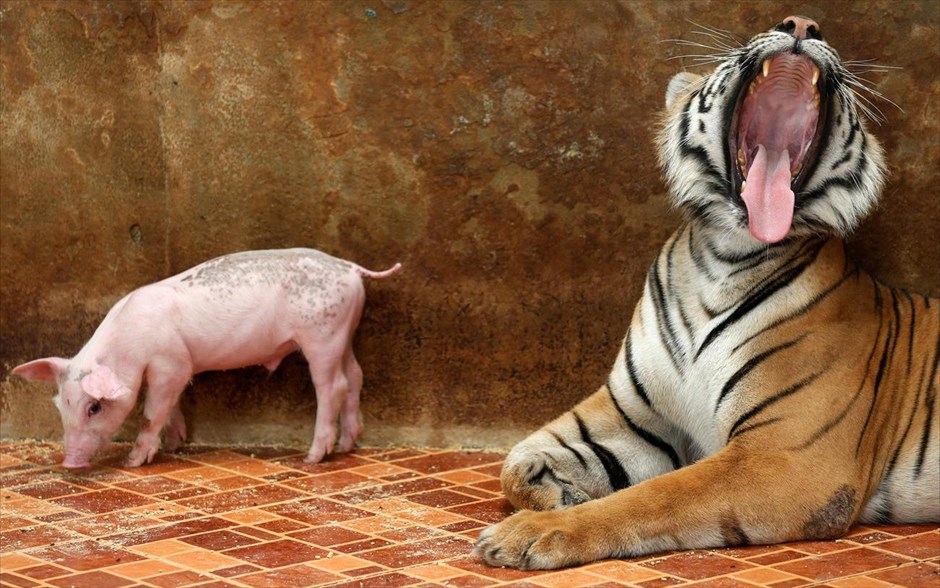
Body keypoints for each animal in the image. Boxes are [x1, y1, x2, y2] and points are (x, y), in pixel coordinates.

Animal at [475, 15, 939, 570]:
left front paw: (533, 531)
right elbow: (514, 462)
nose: (802, 23)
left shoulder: (787, 455)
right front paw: (561, 494)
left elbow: (656, 495)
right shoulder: (633, 417)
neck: (724, 259)